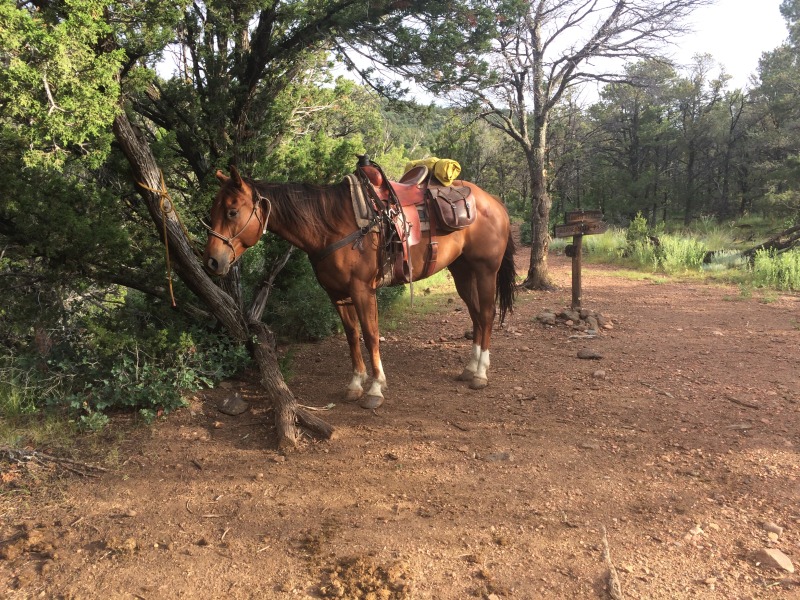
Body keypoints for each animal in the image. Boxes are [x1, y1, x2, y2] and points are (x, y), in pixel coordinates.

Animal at [203, 165, 516, 409]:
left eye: (232, 212)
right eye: (212, 211)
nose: (212, 261)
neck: (331, 226)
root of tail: (494, 202)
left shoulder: (363, 291)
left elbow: (371, 336)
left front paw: (375, 389)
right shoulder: (337, 294)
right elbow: (352, 336)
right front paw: (355, 384)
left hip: (485, 271)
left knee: (486, 314)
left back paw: (480, 374)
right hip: (462, 271)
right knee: (476, 315)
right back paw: (469, 368)